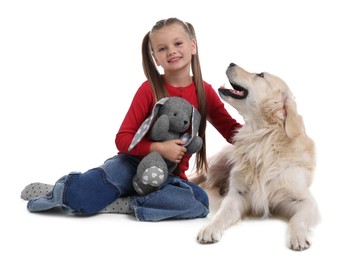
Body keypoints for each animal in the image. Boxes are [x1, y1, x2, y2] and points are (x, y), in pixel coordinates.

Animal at [193, 62, 320, 250]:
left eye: (260, 75)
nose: (231, 63)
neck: (262, 139)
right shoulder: (237, 195)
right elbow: (222, 213)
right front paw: (209, 228)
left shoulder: (305, 200)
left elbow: (297, 219)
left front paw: (298, 236)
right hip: (218, 163)